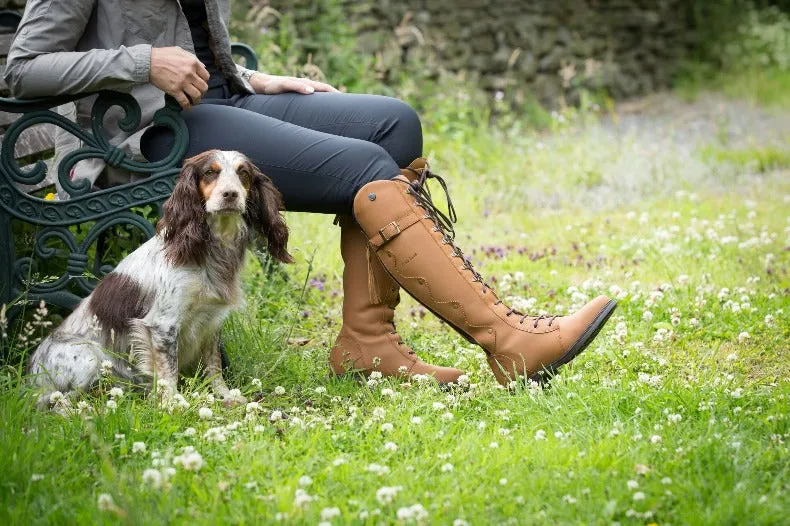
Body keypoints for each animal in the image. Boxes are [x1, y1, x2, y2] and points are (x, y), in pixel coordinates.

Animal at [27, 151, 296, 410]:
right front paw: (172, 405)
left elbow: (214, 367)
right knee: (58, 404)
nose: (230, 194)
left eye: (244, 174)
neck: (207, 251)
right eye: (209, 173)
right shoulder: (163, 325)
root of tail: (32, 379)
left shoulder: (211, 322)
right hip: (90, 356)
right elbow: (169, 372)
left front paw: (225, 396)